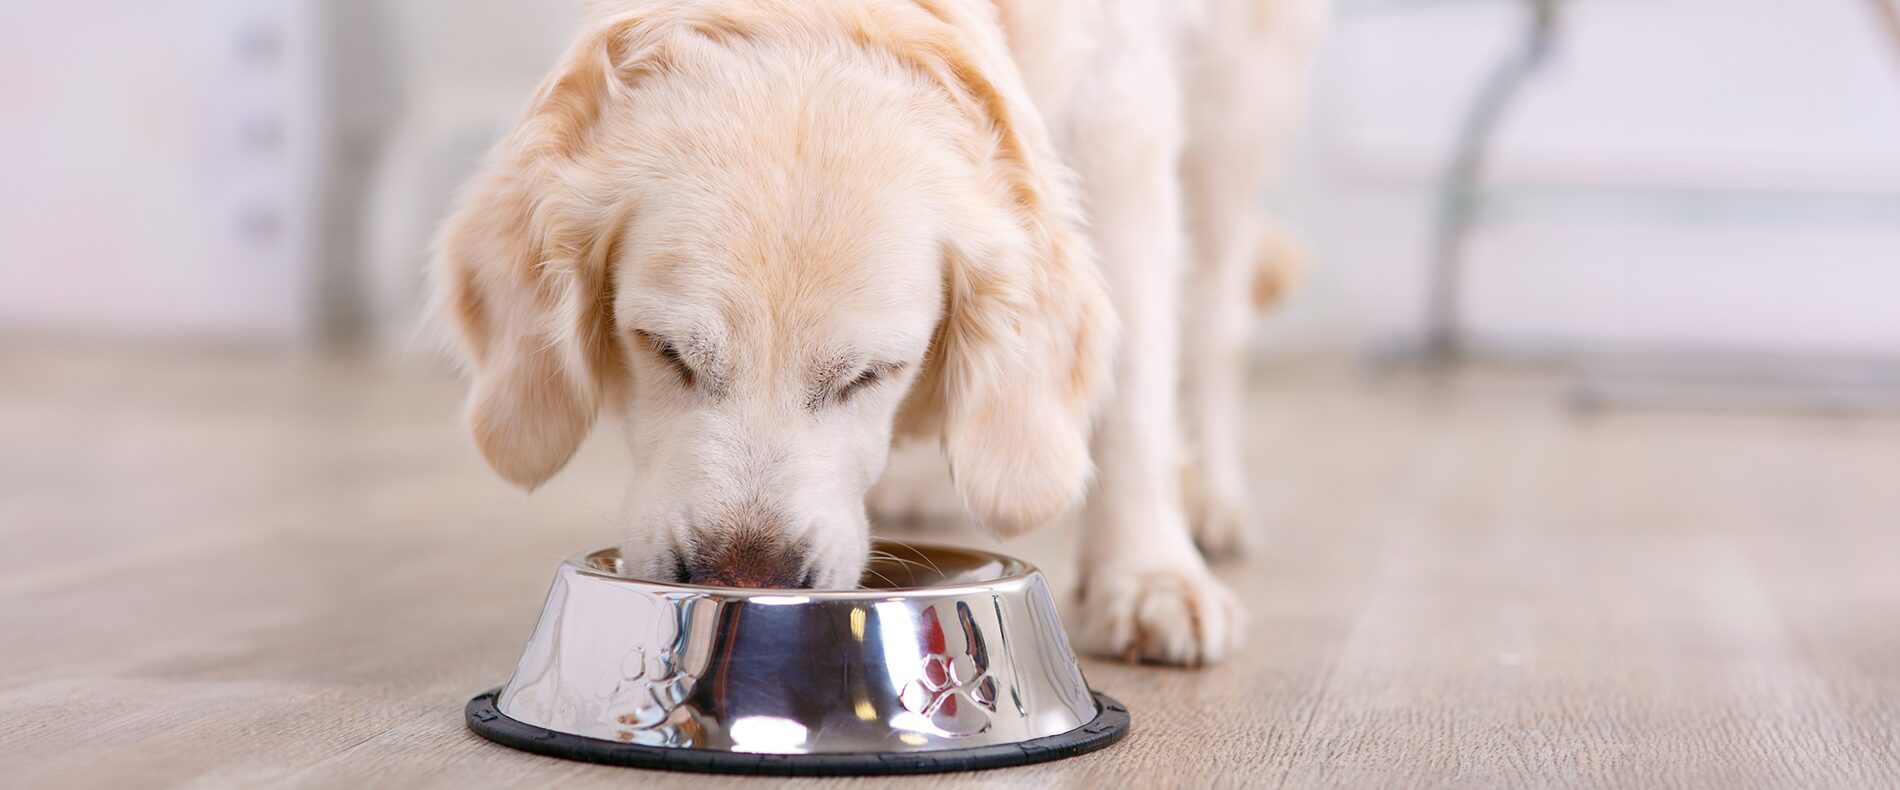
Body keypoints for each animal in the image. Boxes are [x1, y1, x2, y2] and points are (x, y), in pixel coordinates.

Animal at [435, 0, 1322, 668]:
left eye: (872, 374)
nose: (746, 577)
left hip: (1233, 110)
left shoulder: (1120, 111)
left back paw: (1211, 500)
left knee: (1213, 318)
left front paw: (1148, 575)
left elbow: (1135, 379)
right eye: (664, 349)